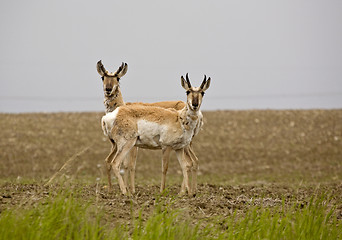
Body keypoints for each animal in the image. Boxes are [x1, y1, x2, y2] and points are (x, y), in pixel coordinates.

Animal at [97, 61, 200, 194]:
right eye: (103, 77)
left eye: (118, 78)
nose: (108, 89)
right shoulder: (117, 145)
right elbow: (110, 162)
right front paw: (113, 190)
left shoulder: (133, 146)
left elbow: (129, 165)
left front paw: (131, 190)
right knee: (193, 162)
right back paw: (191, 190)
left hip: (185, 145)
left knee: (191, 162)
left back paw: (188, 190)